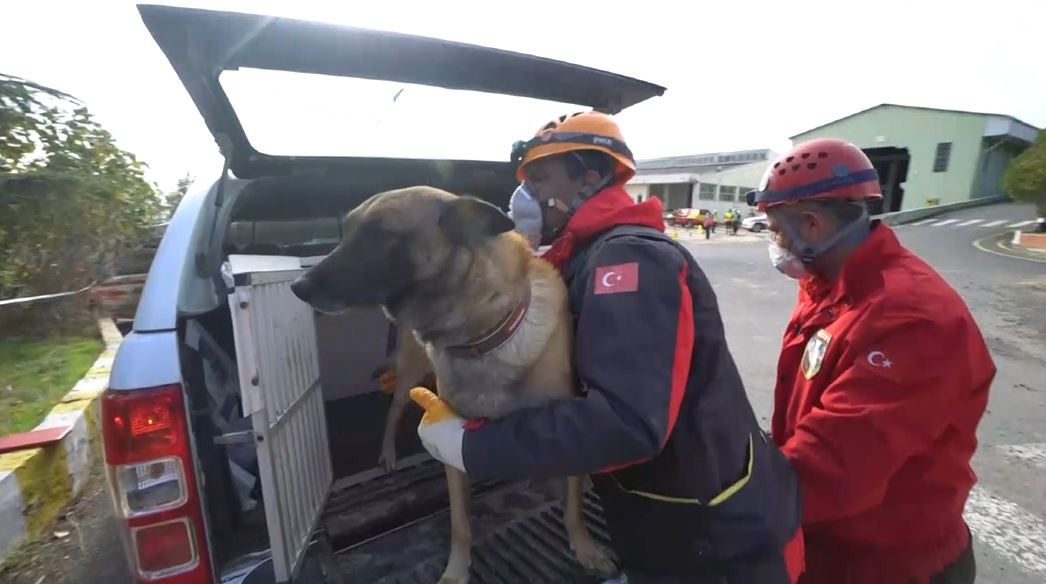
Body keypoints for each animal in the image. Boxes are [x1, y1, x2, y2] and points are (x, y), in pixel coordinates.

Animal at [288, 187, 610, 584]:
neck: (482, 335)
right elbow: (460, 523)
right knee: (393, 412)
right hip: (408, 378)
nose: (297, 287)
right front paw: (456, 571)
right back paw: (389, 454)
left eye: (381, 233)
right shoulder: (454, 445)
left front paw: (585, 548)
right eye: (345, 231)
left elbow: (574, 506)